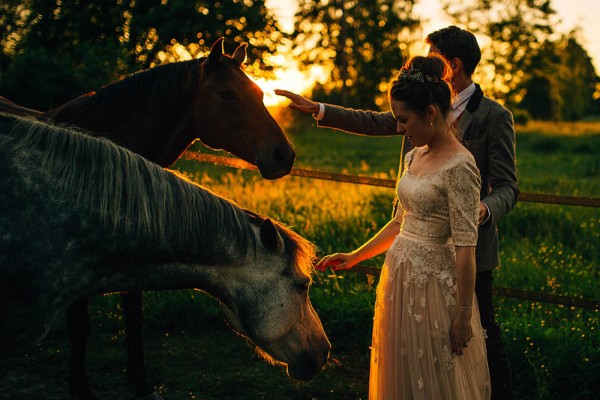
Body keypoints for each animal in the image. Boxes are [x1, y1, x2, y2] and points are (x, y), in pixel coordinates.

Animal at [1, 38, 296, 400]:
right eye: (226, 94)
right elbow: (81, 326)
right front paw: (81, 388)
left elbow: (134, 317)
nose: (284, 155)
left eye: (258, 93)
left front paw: (140, 382)